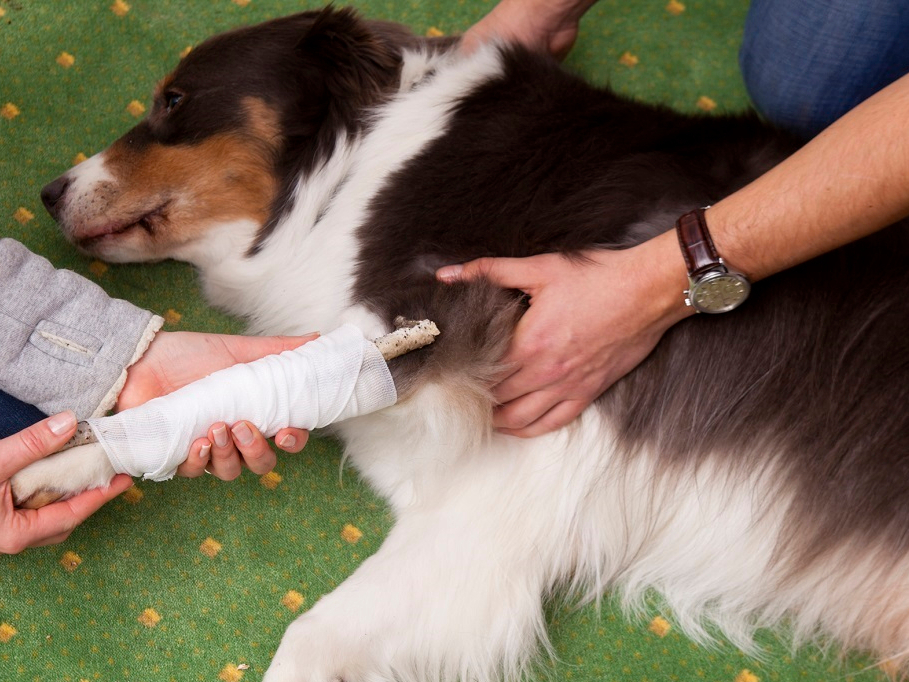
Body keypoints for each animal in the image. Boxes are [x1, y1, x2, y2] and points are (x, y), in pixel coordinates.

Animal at [19, 6, 908, 680]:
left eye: (173, 99)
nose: (49, 192)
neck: (360, 168)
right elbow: (225, 388)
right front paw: (62, 463)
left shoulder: (517, 468)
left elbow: (307, 640)